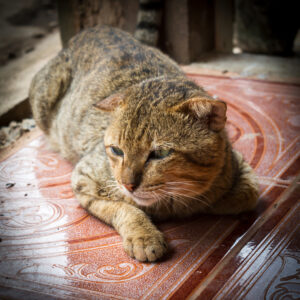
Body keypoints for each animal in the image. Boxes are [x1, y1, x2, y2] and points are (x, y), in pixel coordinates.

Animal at [29, 24, 258, 262]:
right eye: (116, 150)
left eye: (161, 153)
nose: (128, 184)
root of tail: (95, 28)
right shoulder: (84, 178)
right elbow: (125, 209)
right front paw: (144, 236)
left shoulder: (235, 162)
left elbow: (246, 194)